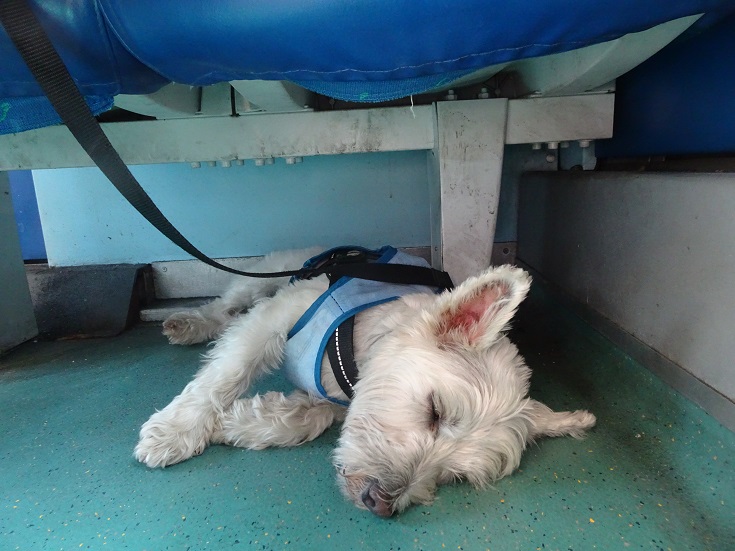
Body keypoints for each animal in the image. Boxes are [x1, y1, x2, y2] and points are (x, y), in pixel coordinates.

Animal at [137, 249, 600, 516]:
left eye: (452, 476)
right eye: (435, 411)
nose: (380, 505)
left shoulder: (331, 400)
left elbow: (298, 421)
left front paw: (228, 426)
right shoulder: (279, 316)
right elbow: (226, 373)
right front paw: (176, 431)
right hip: (266, 275)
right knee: (227, 304)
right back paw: (189, 323)